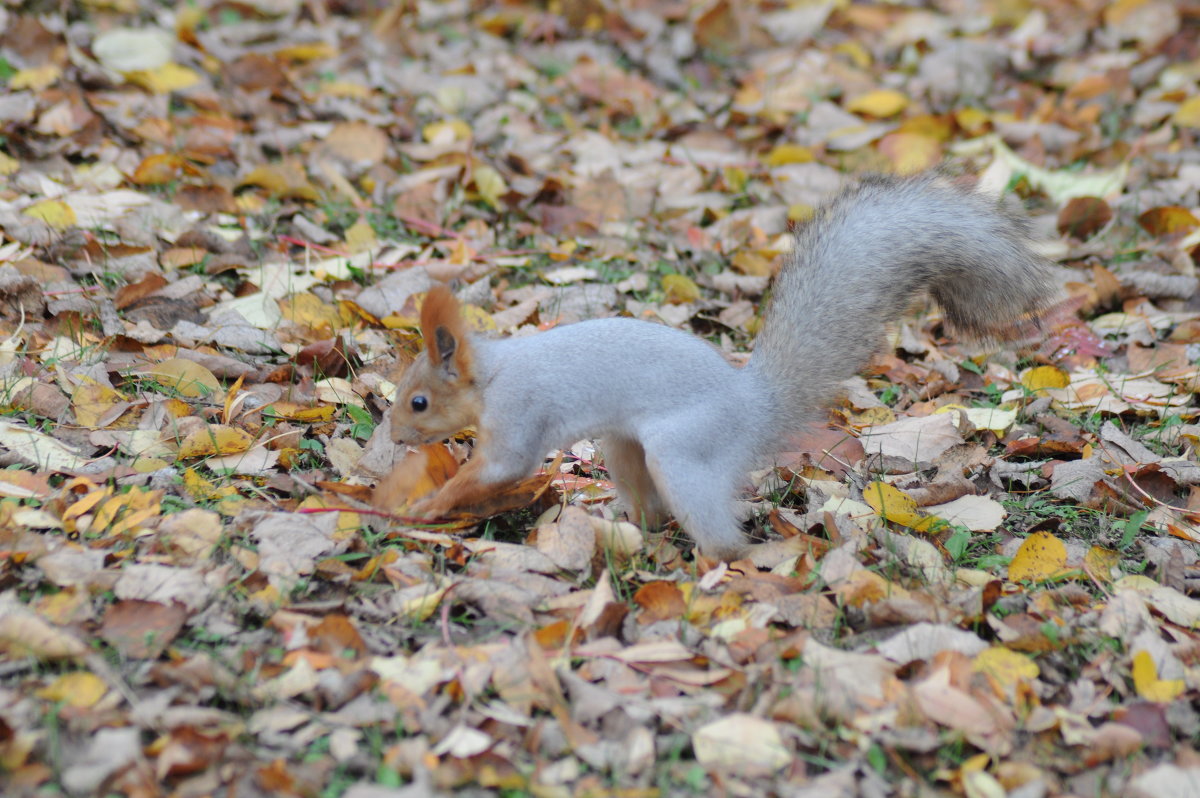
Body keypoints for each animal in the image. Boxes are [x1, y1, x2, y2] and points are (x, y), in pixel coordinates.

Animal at [372, 174, 1051, 559]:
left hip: (685, 451)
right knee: (652, 511)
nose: (395, 436)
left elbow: (502, 467)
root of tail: (754, 407)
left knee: (723, 538)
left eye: (419, 401)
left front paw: (428, 506)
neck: (492, 374)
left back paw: (715, 566)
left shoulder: (519, 412)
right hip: (624, 445)